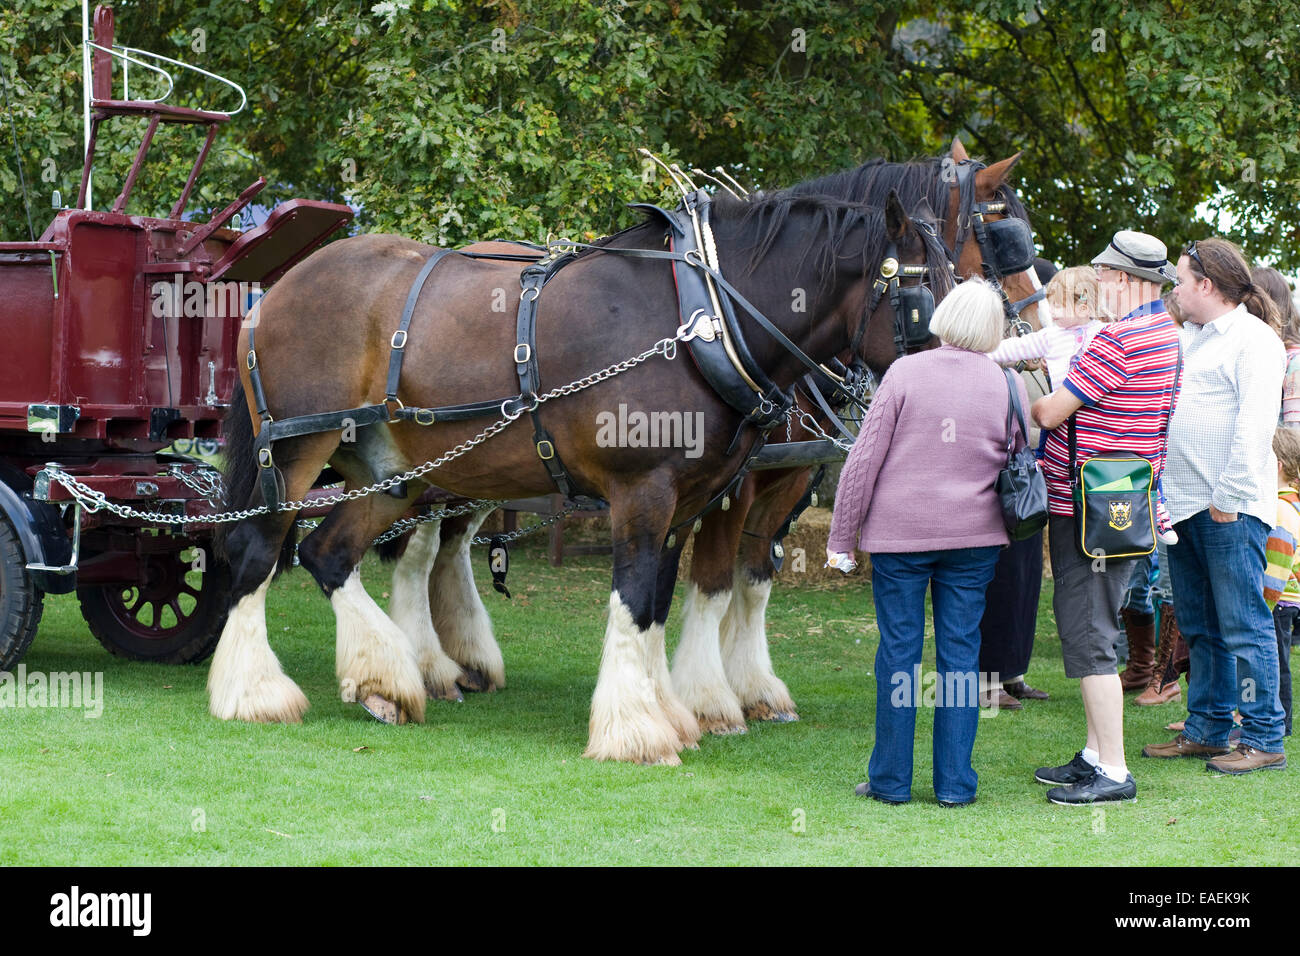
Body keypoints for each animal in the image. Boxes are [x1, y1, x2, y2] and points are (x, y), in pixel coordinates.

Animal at [210, 167, 946, 764]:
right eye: (924, 298)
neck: (699, 318)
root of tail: (277, 291)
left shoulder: (691, 499)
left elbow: (659, 600)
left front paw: (672, 713)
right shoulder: (644, 492)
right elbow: (635, 598)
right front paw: (636, 730)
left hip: (392, 471)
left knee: (328, 554)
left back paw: (385, 681)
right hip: (297, 451)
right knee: (256, 552)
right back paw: (254, 691)